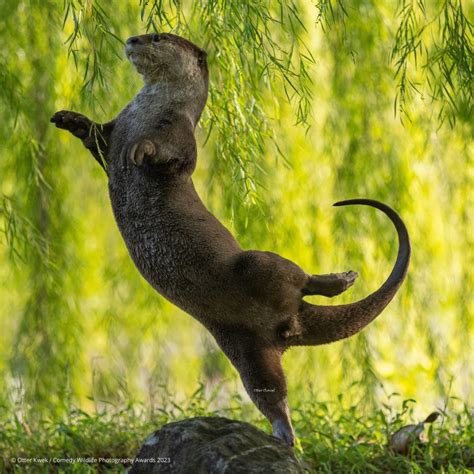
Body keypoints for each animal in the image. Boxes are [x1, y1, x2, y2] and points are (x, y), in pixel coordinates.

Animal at [50, 32, 410, 444]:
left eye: (157, 36)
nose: (132, 39)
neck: (148, 110)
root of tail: (291, 321)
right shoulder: (116, 128)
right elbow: (96, 138)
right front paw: (70, 119)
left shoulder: (179, 135)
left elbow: (168, 155)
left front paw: (140, 149)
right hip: (244, 347)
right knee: (270, 391)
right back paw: (284, 435)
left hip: (255, 265)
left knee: (297, 277)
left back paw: (341, 279)